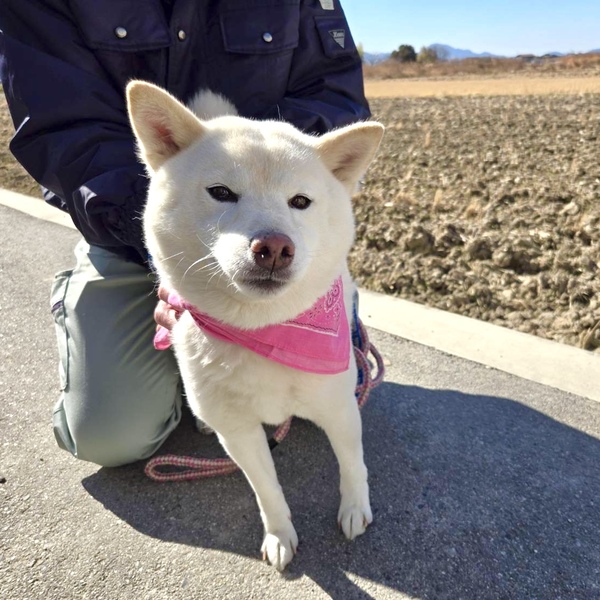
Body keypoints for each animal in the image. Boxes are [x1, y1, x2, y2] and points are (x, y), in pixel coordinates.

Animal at [126, 81, 383, 570]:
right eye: (221, 192)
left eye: (300, 201)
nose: (275, 247)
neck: (265, 329)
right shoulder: (239, 432)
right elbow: (266, 489)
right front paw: (280, 535)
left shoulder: (339, 405)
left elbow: (353, 463)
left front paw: (355, 508)